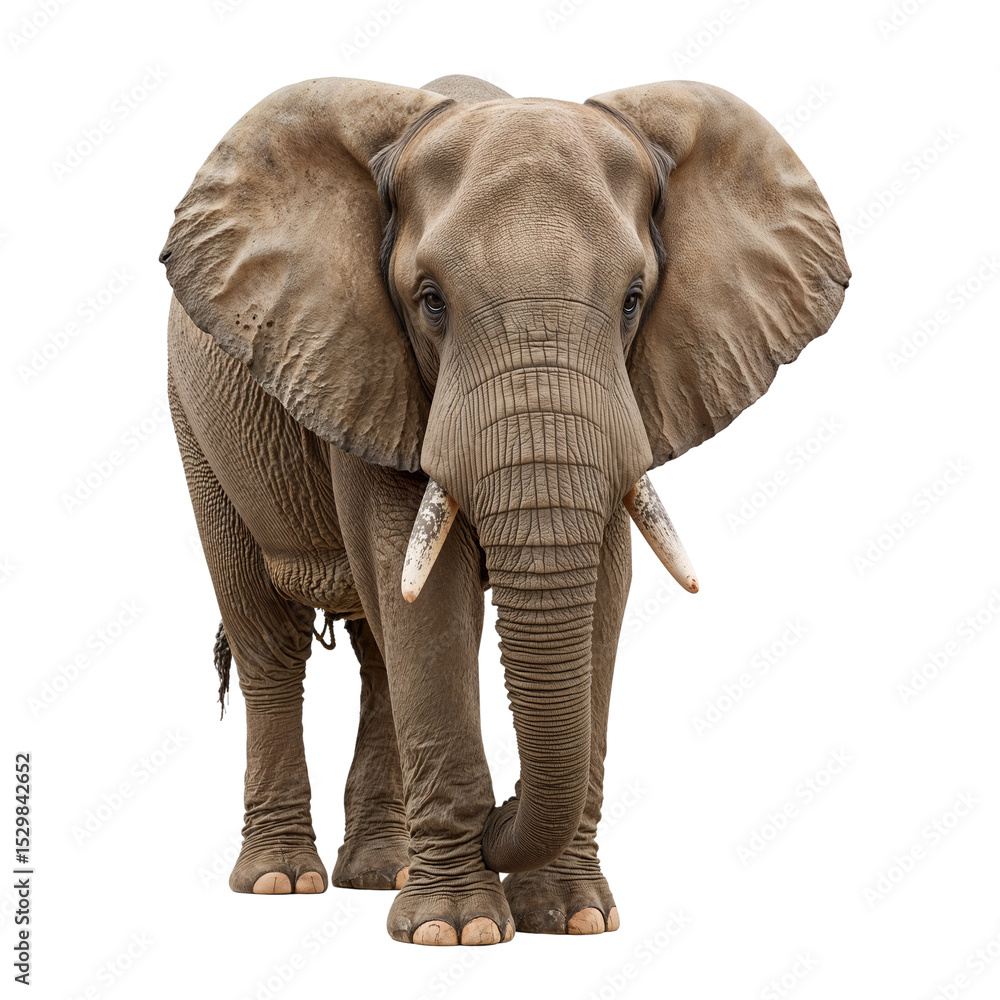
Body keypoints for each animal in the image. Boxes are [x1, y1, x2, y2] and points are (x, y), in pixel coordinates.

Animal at [161, 73, 849, 946]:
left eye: (633, 300)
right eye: (429, 302)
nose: (503, 809)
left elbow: (603, 589)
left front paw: (573, 918)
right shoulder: (367, 362)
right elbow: (423, 594)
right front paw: (454, 930)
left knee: (378, 656)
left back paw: (381, 872)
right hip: (198, 421)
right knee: (270, 638)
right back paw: (283, 881)